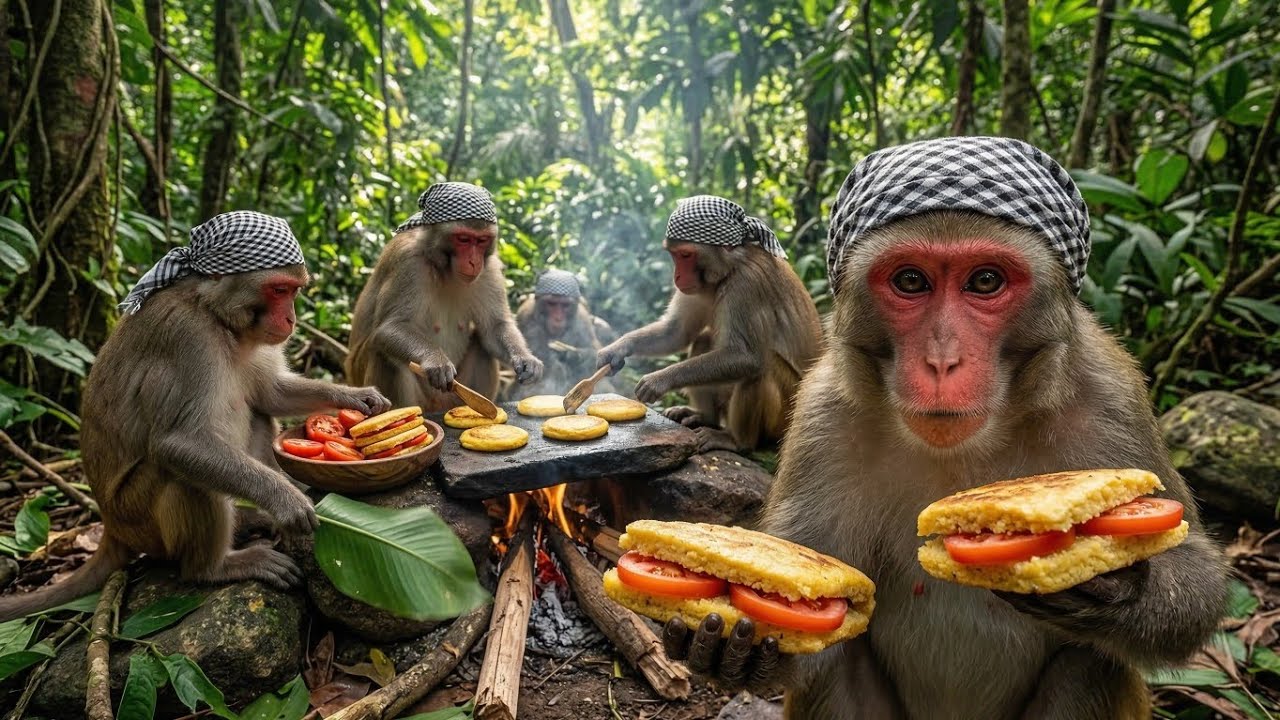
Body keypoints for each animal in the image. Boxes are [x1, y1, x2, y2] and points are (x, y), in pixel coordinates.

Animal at [0, 212, 390, 622]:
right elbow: (179, 442)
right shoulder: (187, 339)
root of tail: (110, 526)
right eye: (280, 290)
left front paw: (357, 397)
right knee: (184, 475)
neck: (216, 317)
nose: (291, 319)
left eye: (293, 291)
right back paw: (215, 567)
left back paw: (250, 519)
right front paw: (286, 500)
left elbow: (271, 394)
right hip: (140, 520)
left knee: (256, 414)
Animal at [346, 182, 542, 411]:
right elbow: (391, 326)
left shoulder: (489, 268)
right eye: (464, 239)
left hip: (455, 396)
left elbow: (494, 326)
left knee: (482, 344)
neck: (443, 267)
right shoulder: (408, 262)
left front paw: (526, 360)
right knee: (384, 352)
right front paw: (435, 361)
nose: (474, 262)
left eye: (481, 240)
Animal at [512, 269, 616, 397]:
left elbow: (592, 354)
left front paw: (570, 354)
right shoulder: (526, 317)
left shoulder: (583, 320)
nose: (558, 319)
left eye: (565, 305)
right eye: (551, 303)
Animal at [596, 195, 822, 452]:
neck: (730, 270)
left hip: (785, 419)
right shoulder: (699, 287)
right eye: (675, 255)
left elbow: (746, 357)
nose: (677, 276)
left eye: (686, 255)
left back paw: (737, 441)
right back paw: (706, 417)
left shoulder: (747, 284)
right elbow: (676, 332)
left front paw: (659, 380)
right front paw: (616, 350)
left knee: (760, 368)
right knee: (703, 340)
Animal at [661, 138, 1226, 719]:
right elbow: (821, 612)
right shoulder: (821, 415)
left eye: (985, 281)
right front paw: (740, 650)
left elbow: (1197, 574)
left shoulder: (1111, 394)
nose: (942, 360)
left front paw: (1115, 584)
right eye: (911, 281)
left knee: (1092, 664)